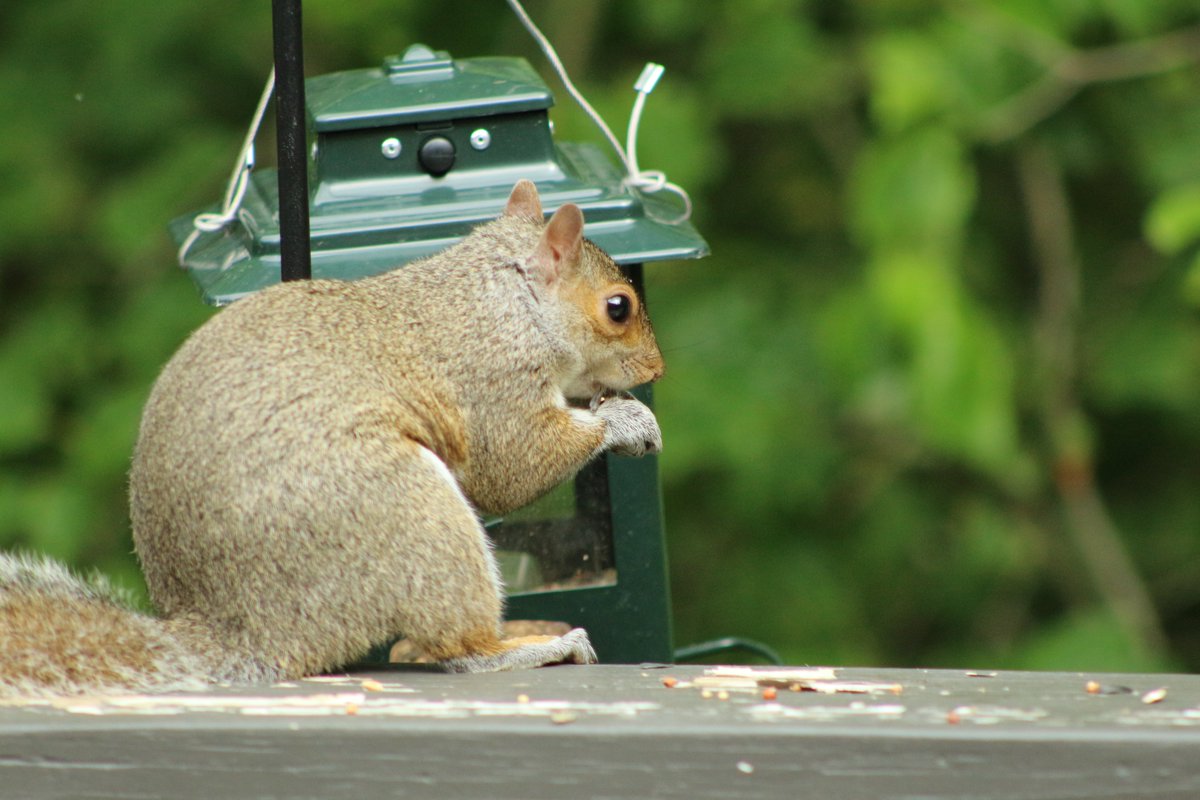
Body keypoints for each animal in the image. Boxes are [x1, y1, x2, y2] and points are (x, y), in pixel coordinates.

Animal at [0, 179, 665, 696]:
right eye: (618, 308)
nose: (657, 371)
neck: (506, 302)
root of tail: (240, 629)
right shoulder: (492, 382)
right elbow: (514, 466)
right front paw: (626, 423)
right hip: (407, 512)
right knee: (460, 649)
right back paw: (532, 647)